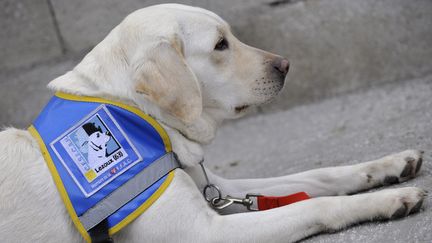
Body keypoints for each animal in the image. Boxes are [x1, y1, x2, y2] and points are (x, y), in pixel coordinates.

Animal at [0, 3, 426, 243]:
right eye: (221, 45)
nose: (286, 65)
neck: (138, 113)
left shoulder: (220, 188)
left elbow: (318, 176)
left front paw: (387, 167)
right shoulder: (202, 233)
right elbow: (314, 205)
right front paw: (387, 200)